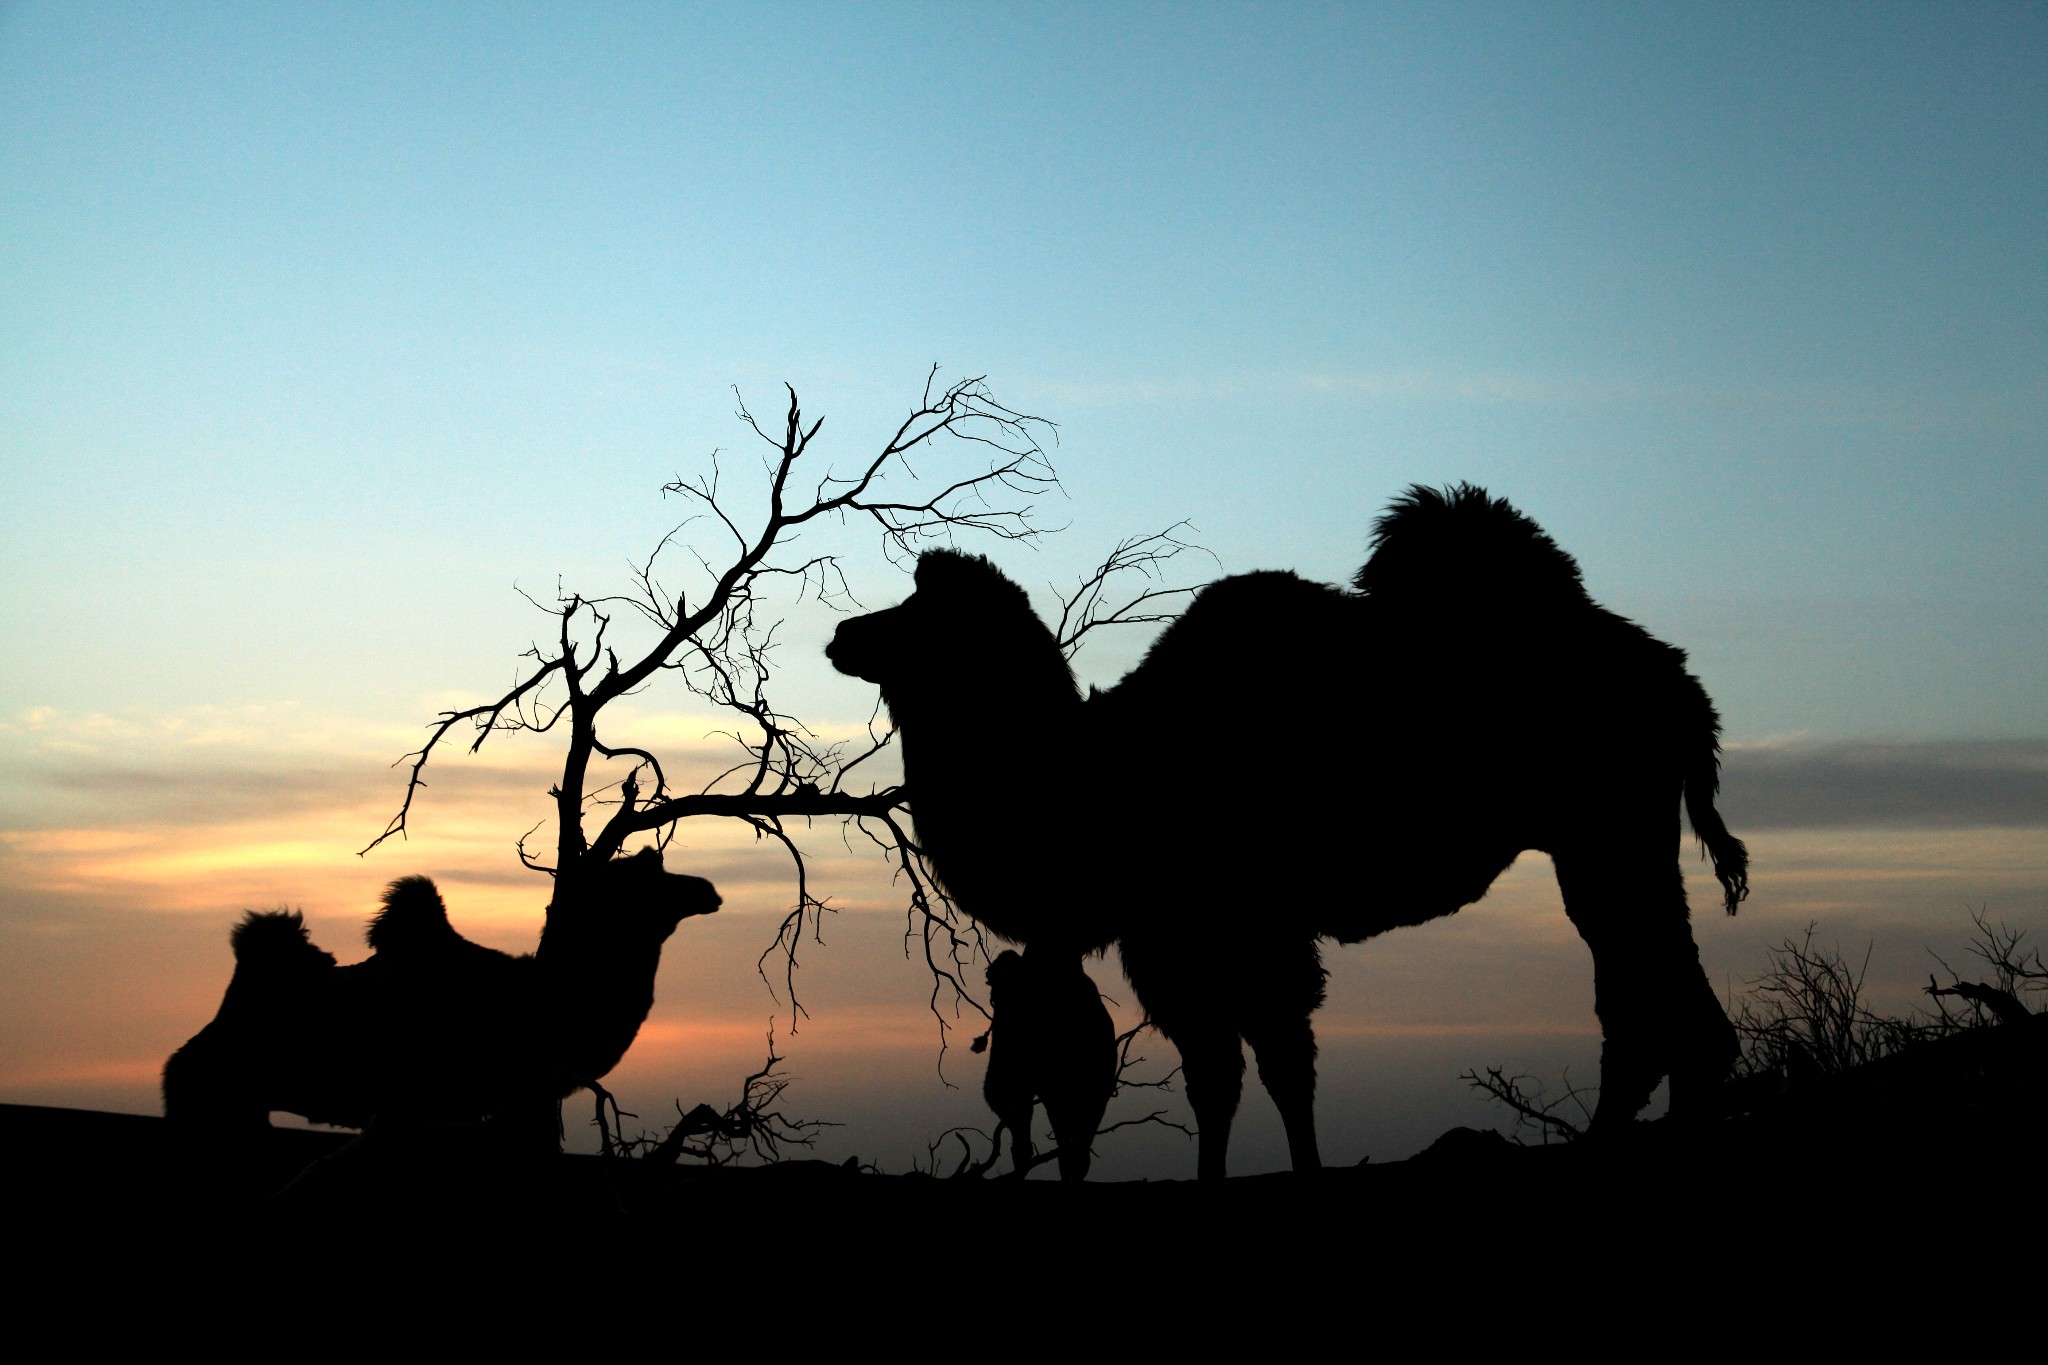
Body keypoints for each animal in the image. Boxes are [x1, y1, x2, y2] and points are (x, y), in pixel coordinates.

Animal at [823, 485, 1753, 1178]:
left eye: (916, 614)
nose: (840, 634)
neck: (1091, 776)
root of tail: (1680, 684)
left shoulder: (1220, 928)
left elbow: (1255, 1066)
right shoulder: (1192, 936)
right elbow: (1245, 1070)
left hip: (1608, 829)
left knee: (1651, 995)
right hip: (1604, 838)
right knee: (1652, 992)